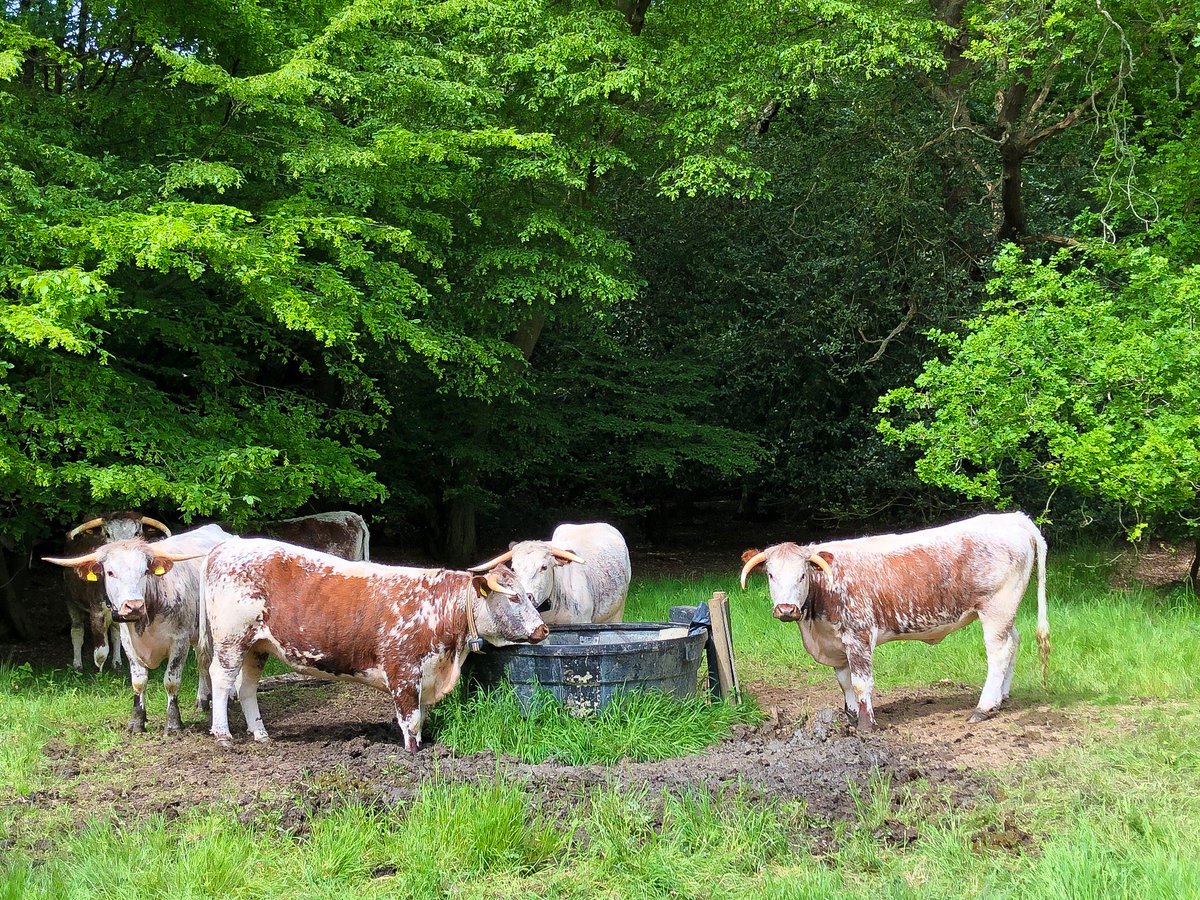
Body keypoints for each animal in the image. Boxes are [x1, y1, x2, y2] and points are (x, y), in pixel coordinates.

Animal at [61, 512, 173, 672]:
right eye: (107, 534)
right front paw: (100, 672)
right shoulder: (96, 612)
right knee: (77, 630)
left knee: (115, 633)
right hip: (70, 599)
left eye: (137, 533)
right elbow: (101, 652)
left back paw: (117, 661)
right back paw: (77, 665)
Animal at [199, 538, 549, 751]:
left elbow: (420, 717)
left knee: (246, 687)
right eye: (514, 597)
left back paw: (261, 735)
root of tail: (228, 544)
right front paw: (413, 753)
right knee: (222, 679)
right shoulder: (403, 672)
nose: (543, 629)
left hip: (257, 646)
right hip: (232, 638)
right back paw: (223, 735)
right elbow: (411, 719)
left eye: (527, 594)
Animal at [739, 512, 1049, 731]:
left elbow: (861, 683)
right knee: (1014, 641)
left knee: (999, 652)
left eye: (802, 575)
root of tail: (1014, 518)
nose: (786, 609)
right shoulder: (837, 643)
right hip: (1006, 612)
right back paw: (1002, 697)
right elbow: (845, 683)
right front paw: (851, 718)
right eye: (770, 575)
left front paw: (866, 726)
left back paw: (984, 708)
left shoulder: (859, 636)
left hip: (996, 607)